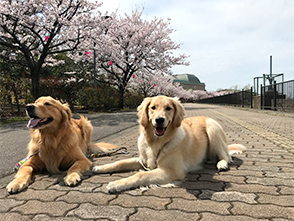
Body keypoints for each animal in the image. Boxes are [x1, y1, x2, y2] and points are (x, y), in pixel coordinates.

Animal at [92, 96, 246, 193]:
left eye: (168, 108)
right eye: (153, 107)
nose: (159, 120)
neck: (156, 142)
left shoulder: (173, 170)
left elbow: (140, 175)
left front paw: (116, 184)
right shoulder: (143, 160)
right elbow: (120, 162)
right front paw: (100, 167)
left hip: (212, 128)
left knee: (226, 157)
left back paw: (222, 164)